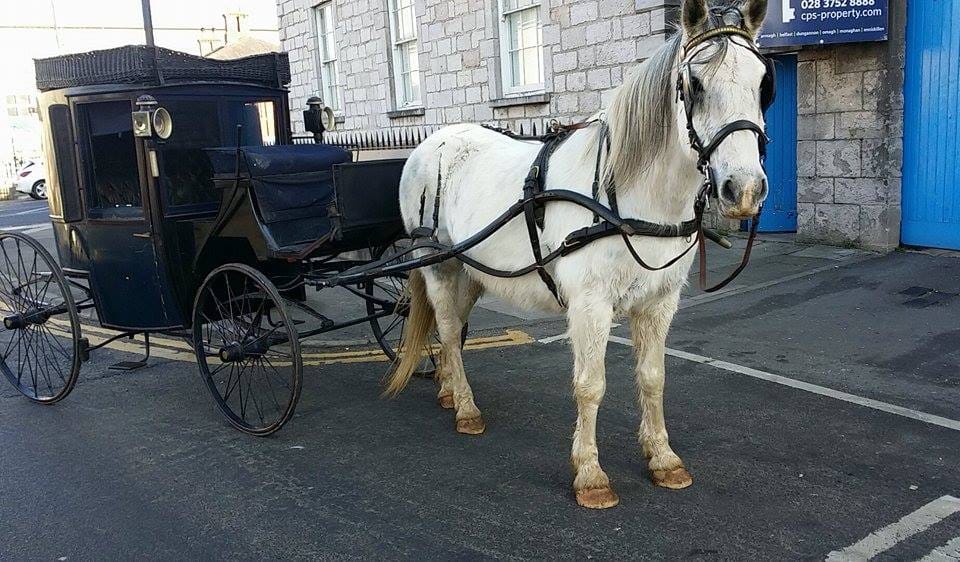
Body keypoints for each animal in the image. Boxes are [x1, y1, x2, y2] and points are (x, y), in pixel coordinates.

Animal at [387, 0, 772, 509]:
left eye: (763, 83)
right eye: (694, 85)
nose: (743, 190)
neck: (627, 197)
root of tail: (431, 143)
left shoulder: (660, 302)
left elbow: (653, 377)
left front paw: (663, 457)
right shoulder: (591, 304)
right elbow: (591, 385)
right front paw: (590, 474)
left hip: (473, 272)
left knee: (451, 331)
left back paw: (449, 389)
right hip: (440, 265)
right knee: (449, 332)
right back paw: (466, 409)